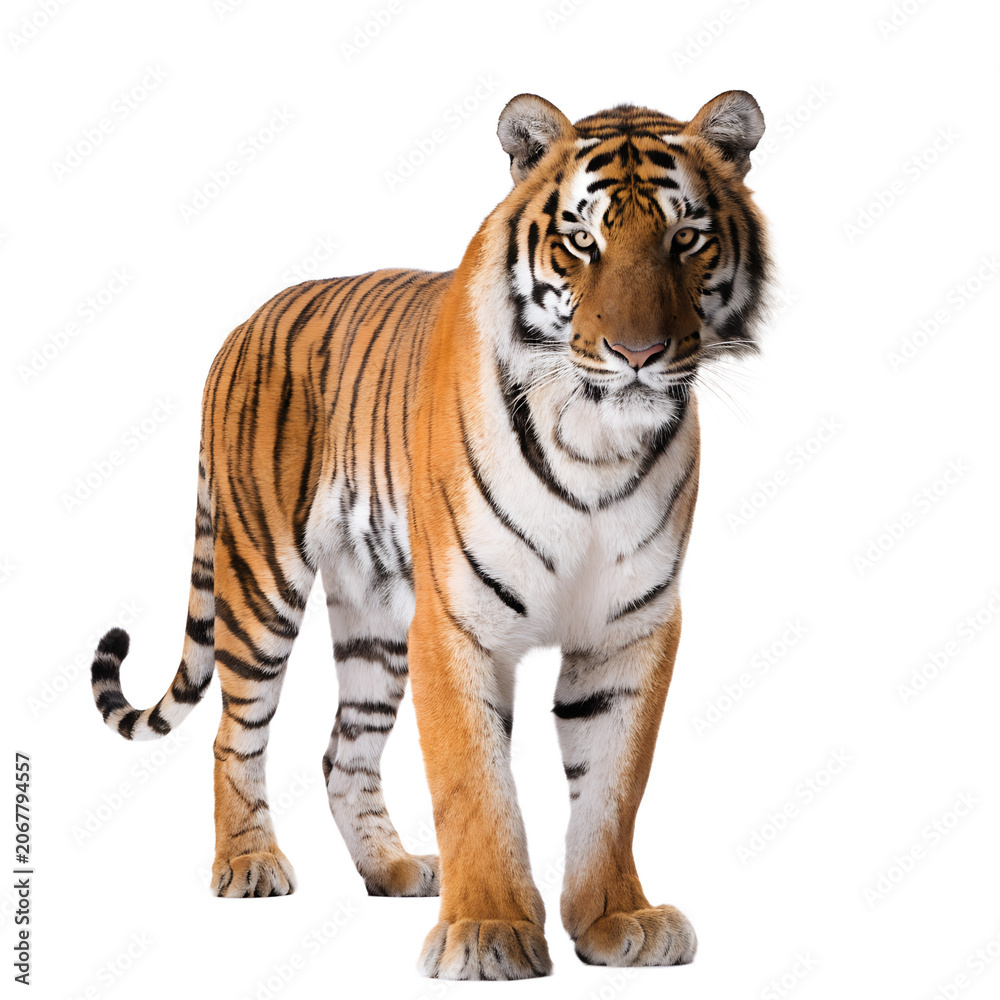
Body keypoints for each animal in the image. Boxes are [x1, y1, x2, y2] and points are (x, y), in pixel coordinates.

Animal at [90, 89, 771, 979]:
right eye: (581, 243)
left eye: (685, 238)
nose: (637, 353)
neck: (598, 440)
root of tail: (245, 322)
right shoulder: (454, 621)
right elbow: (474, 785)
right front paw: (488, 930)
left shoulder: (633, 626)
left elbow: (614, 786)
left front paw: (616, 917)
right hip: (260, 580)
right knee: (235, 734)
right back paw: (248, 863)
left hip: (374, 617)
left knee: (342, 753)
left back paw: (391, 868)